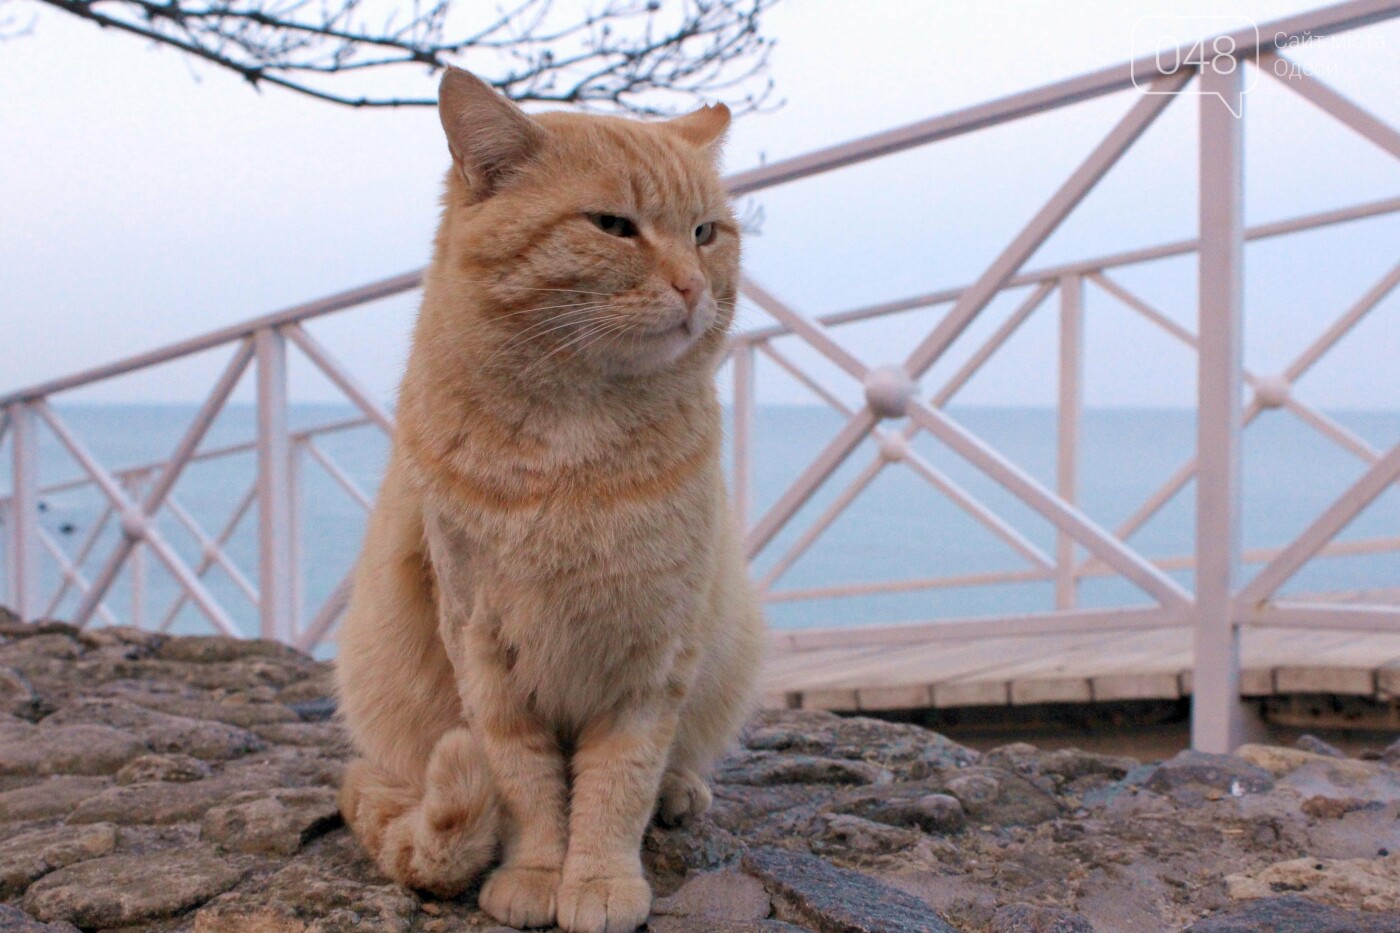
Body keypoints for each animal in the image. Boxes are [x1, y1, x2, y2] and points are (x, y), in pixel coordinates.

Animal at [333, 67, 767, 930]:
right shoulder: (481, 642)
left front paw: (598, 878)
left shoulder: (654, 649)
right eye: (614, 226)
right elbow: (524, 780)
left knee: (678, 760)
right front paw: (537, 871)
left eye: (706, 232)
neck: (574, 449)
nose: (693, 286)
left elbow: (618, 781)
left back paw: (682, 789)